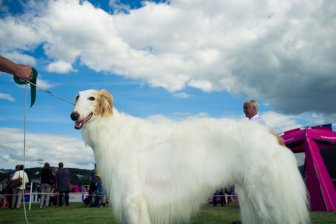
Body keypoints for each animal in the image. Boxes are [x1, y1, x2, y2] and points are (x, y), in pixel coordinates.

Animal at [70, 89, 310, 224]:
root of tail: (273, 136)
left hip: (268, 198)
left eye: (91, 98)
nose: (73, 115)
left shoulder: (132, 201)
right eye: (77, 97)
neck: (113, 131)